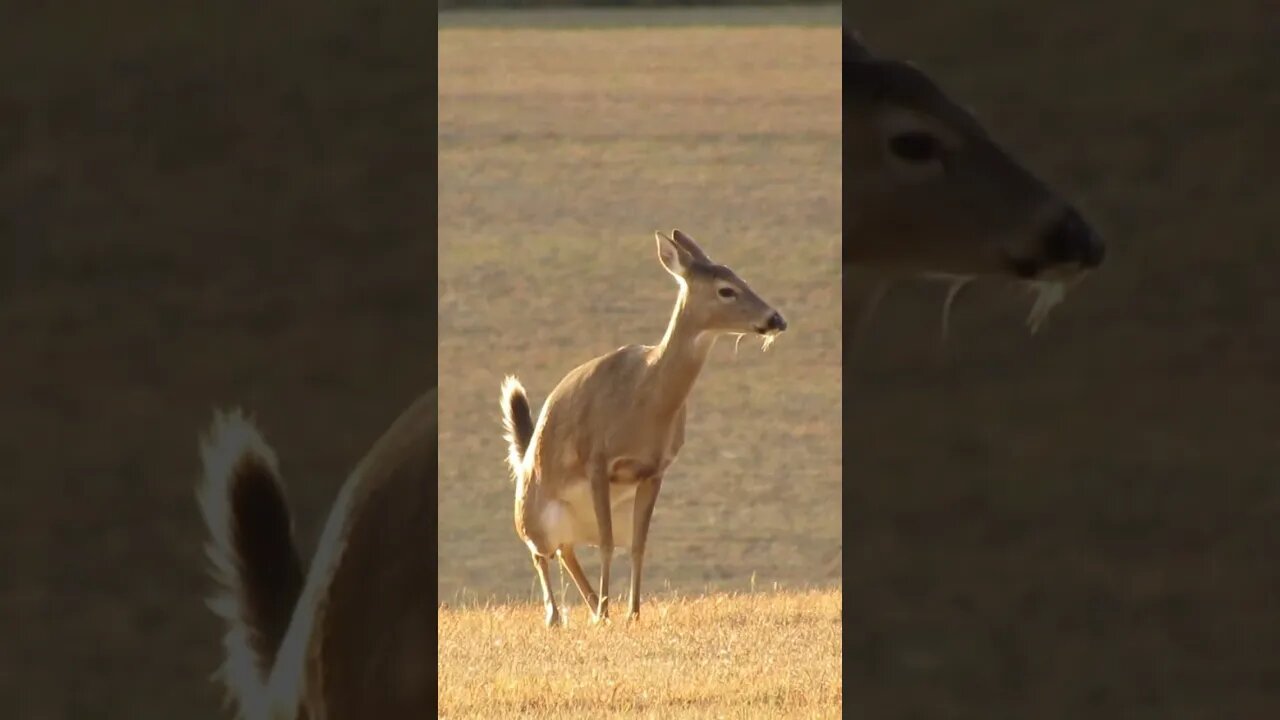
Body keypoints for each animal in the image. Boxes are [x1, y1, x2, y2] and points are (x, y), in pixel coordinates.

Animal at [500, 229, 788, 628]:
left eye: (741, 278)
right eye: (726, 289)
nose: (776, 318)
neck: (643, 397)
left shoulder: (654, 470)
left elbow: (638, 545)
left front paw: (631, 613)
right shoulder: (597, 460)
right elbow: (606, 544)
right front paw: (609, 613)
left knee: (568, 551)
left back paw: (593, 606)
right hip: (533, 512)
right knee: (541, 551)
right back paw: (558, 616)